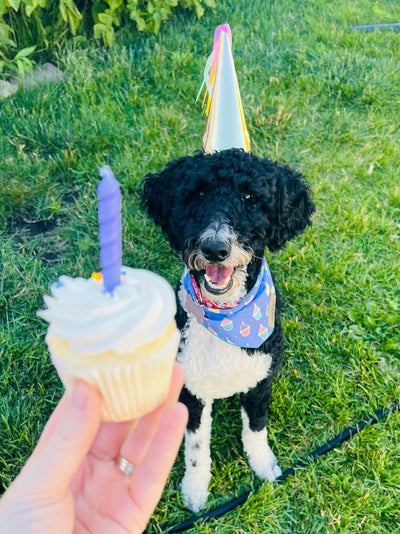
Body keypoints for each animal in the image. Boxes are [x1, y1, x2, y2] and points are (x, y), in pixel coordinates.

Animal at [143, 148, 316, 516]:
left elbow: (256, 428)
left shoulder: (260, 381)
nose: (215, 248)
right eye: (197, 193)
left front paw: (264, 465)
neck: (228, 319)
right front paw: (195, 490)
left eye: (250, 197)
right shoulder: (192, 392)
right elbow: (196, 449)